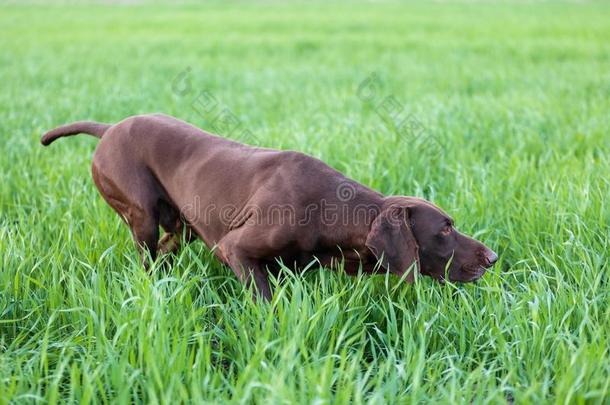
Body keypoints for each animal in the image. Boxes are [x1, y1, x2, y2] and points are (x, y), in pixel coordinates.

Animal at [41, 113, 494, 300]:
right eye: (445, 228)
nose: (493, 257)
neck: (328, 207)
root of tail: (109, 128)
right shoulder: (235, 249)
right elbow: (265, 300)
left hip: (181, 226)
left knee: (168, 250)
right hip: (142, 216)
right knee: (147, 255)